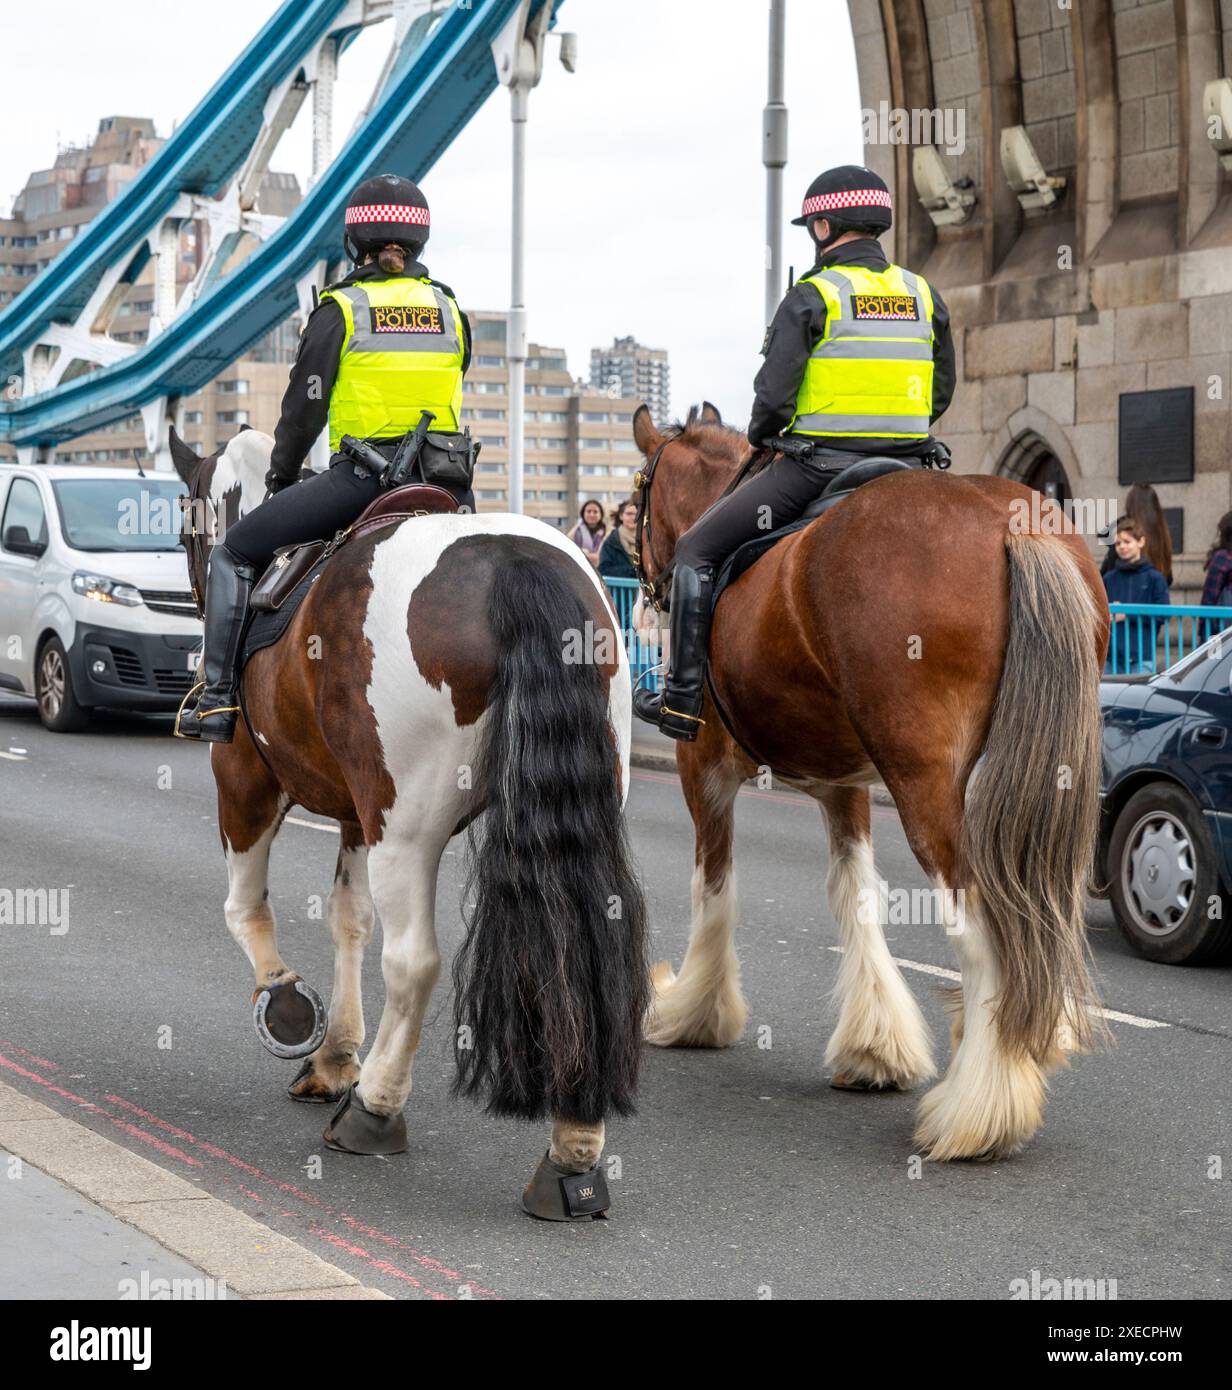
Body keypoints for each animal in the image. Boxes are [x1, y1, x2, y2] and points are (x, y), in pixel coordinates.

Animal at [175, 428, 656, 1212]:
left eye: (190, 524)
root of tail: (513, 564)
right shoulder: (355, 814)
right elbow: (350, 920)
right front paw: (335, 1055)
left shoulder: (245, 777)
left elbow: (245, 910)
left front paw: (288, 1005)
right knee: (588, 950)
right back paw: (573, 1151)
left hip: (405, 832)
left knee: (414, 963)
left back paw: (375, 1108)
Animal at [631, 405, 1112, 1162]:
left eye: (636, 501)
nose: (643, 597)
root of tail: (1011, 525)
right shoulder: (845, 785)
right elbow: (854, 894)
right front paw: (874, 1046)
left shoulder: (701, 770)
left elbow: (714, 888)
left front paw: (692, 1011)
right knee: (1042, 913)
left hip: (923, 784)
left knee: (982, 929)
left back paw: (980, 1107)